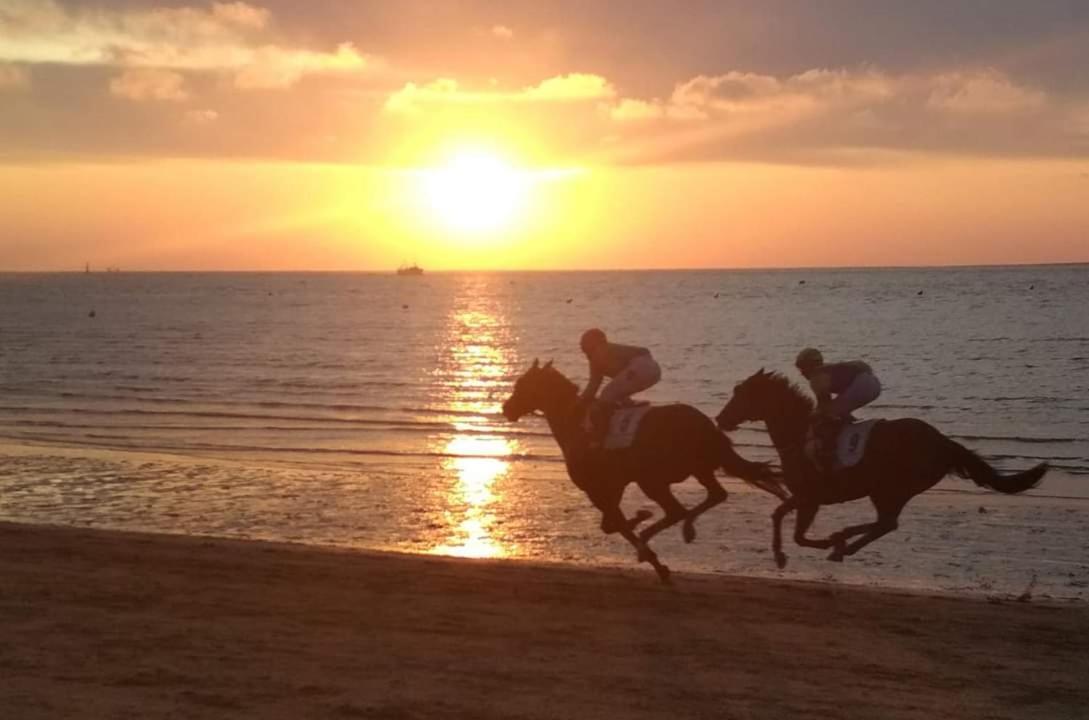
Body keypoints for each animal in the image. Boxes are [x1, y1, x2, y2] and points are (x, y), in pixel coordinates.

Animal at [500, 359, 784, 583]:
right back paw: (684, 529)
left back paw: (659, 534)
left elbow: (615, 525)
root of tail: (705, 425)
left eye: (522, 384)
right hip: (694, 470)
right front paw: (645, 531)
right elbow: (612, 525)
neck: (576, 424)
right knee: (713, 496)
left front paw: (648, 544)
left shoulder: (599, 489)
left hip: (652, 479)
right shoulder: (613, 487)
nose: (506, 408)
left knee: (678, 509)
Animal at [714, 370, 1045, 566]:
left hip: (891, 487)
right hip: (892, 489)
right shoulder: (805, 497)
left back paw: (843, 540)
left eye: (740, 394)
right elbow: (779, 514)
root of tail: (943, 442)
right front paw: (781, 553)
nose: (720, 419)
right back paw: (844, 543)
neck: (798, 434)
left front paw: (821, 543)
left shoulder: (812, 498)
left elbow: (797, 533)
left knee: (887, 523)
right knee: (885, 523)